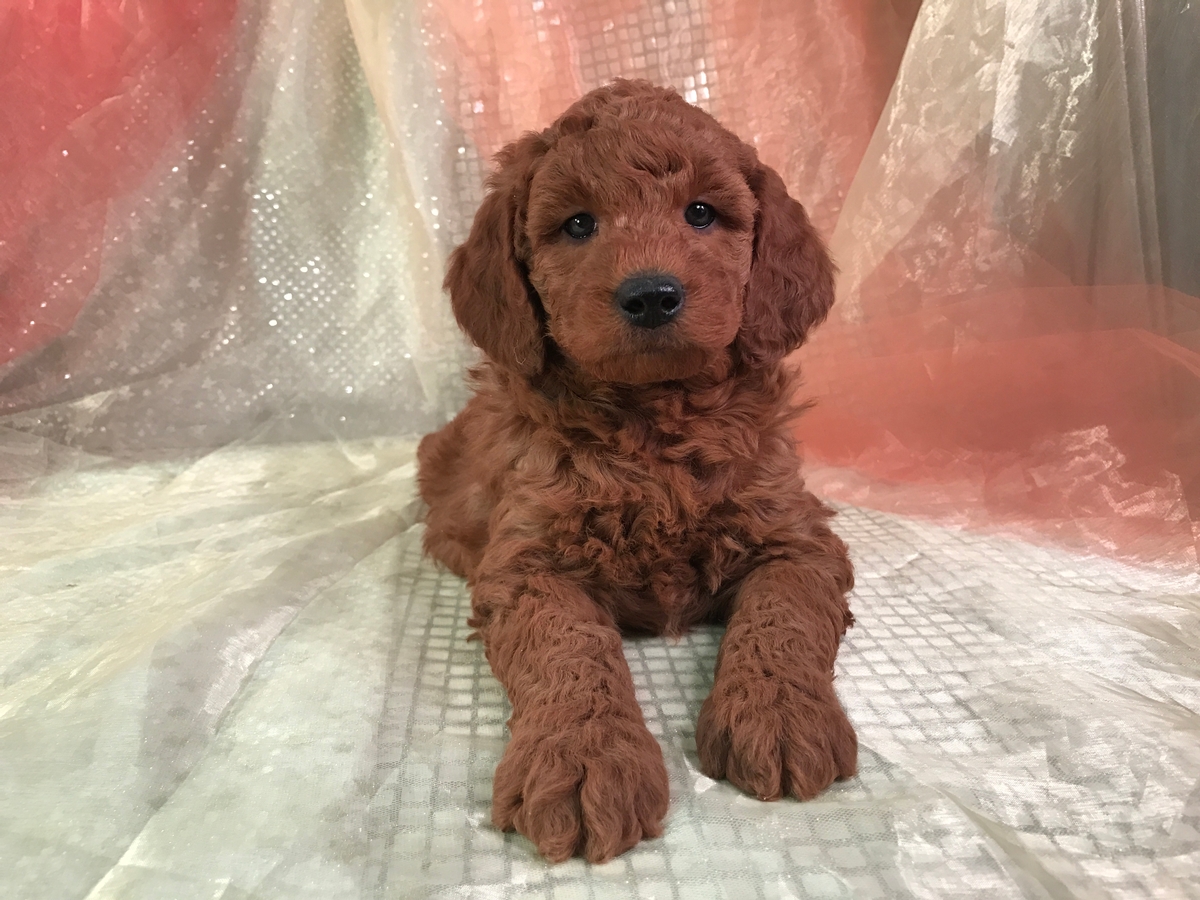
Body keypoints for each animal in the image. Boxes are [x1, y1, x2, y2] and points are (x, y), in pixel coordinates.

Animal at [417, 81, 859, 864]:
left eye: (701, 213)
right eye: (578, 223)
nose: (651, 294)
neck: (653, 423)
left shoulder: (796, 534)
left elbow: (783, 614)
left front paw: (778, 710)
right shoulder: (527, 560)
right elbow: (567, 644)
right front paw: (583, 757)